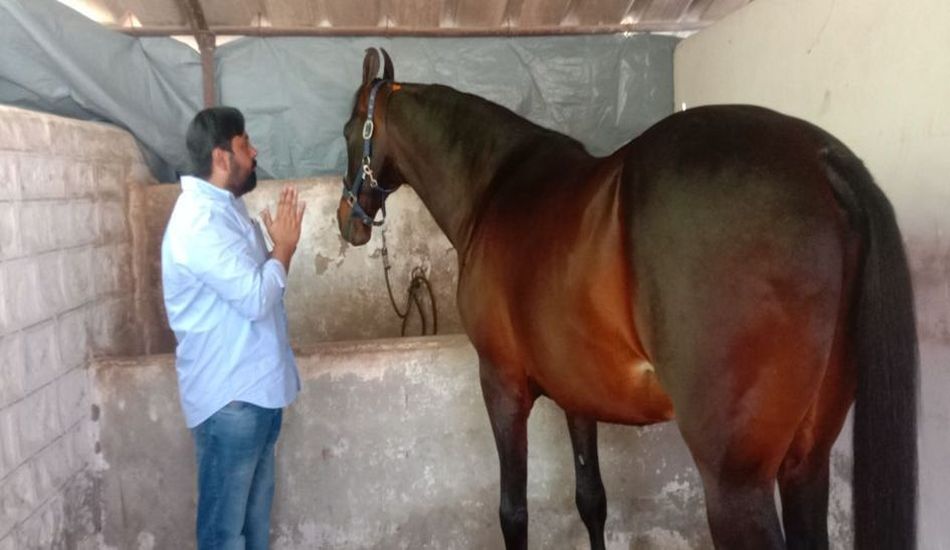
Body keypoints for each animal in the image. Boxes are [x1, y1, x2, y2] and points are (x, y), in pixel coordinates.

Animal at [335, 48, 918, 550]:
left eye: (348, 131)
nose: (348, 222)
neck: (496, 188)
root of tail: (820, 159)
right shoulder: (577, 393)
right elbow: (591, 499)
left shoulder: (501, 385)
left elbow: (513, 513)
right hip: (806, 463)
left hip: (736, 484)